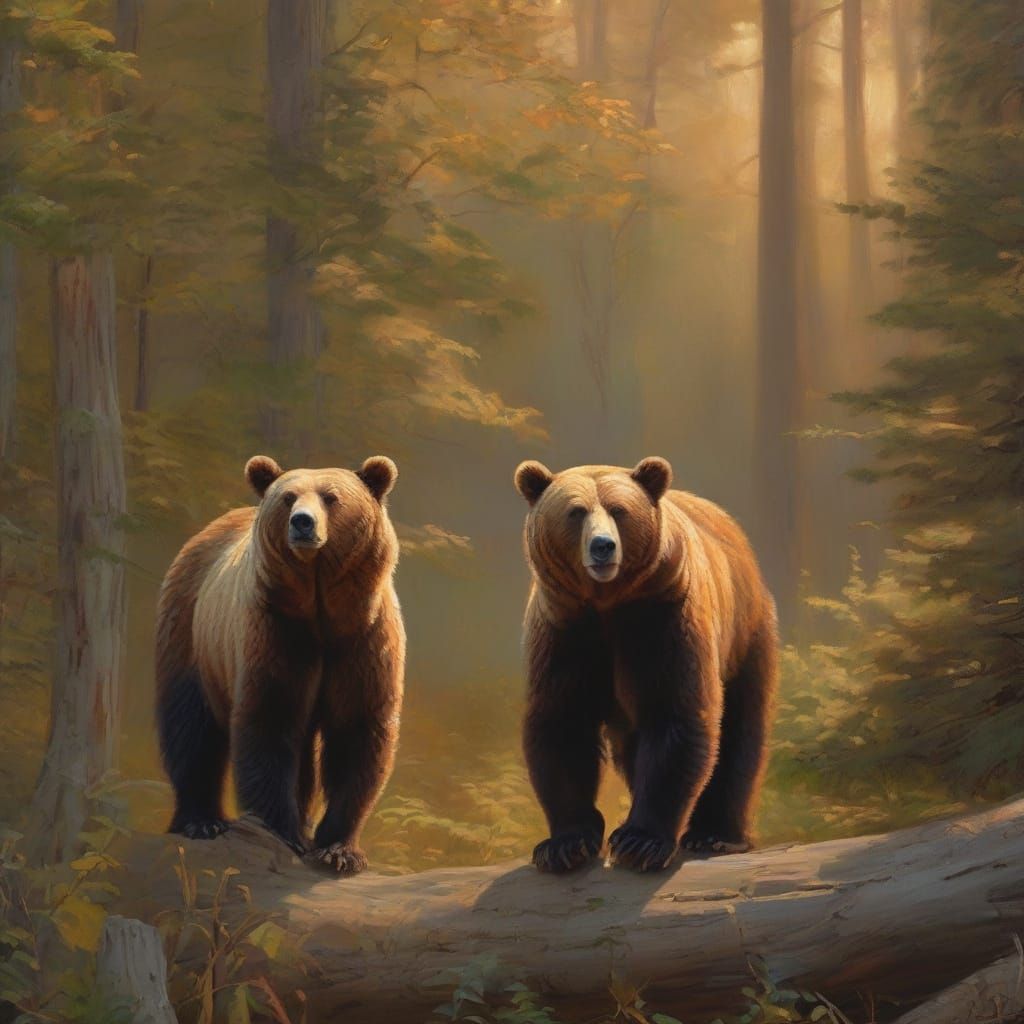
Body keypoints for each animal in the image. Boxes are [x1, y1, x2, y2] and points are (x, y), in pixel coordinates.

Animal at [155, 454, 405, 874]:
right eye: (288, 497)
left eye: (331, 497)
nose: (302, 522)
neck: (321, 609)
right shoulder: (276, 631)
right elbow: (268, 722)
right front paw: (282, 833)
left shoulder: (363, 640)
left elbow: (358, 731)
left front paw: (338, 849)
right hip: (192, 635)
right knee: (190, 728)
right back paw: (201, 820)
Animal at [514, 457, 778, 874]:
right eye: (576, 511)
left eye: (619, 510)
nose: (603, 547)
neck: (606, 603)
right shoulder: (565, 629)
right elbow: (562, 721)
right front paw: (565, 843)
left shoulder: (661, 615)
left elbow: (674, 714)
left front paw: (640, 840)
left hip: (745, 633)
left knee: (740, 730)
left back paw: (716, 833)